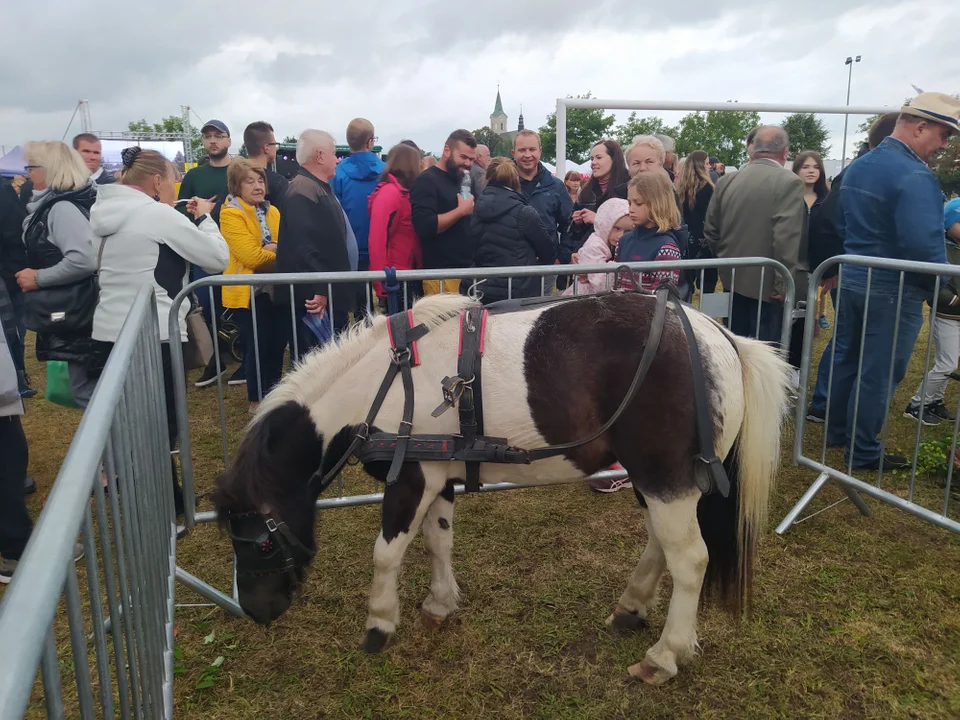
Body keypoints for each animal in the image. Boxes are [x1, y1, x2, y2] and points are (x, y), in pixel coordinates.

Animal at [214, 294, 792, 688]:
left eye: (260, 540)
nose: (256, 611)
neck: (386, 385)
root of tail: (718, 337)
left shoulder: (411, 479)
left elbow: (386, 553)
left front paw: (379, 621)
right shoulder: (437, 476)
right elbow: (438, 540)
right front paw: (440, 603)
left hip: (663, 476)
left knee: (690, 559)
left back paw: (665, 654)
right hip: (655, 480)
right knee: (660, 543)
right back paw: (631, 608)